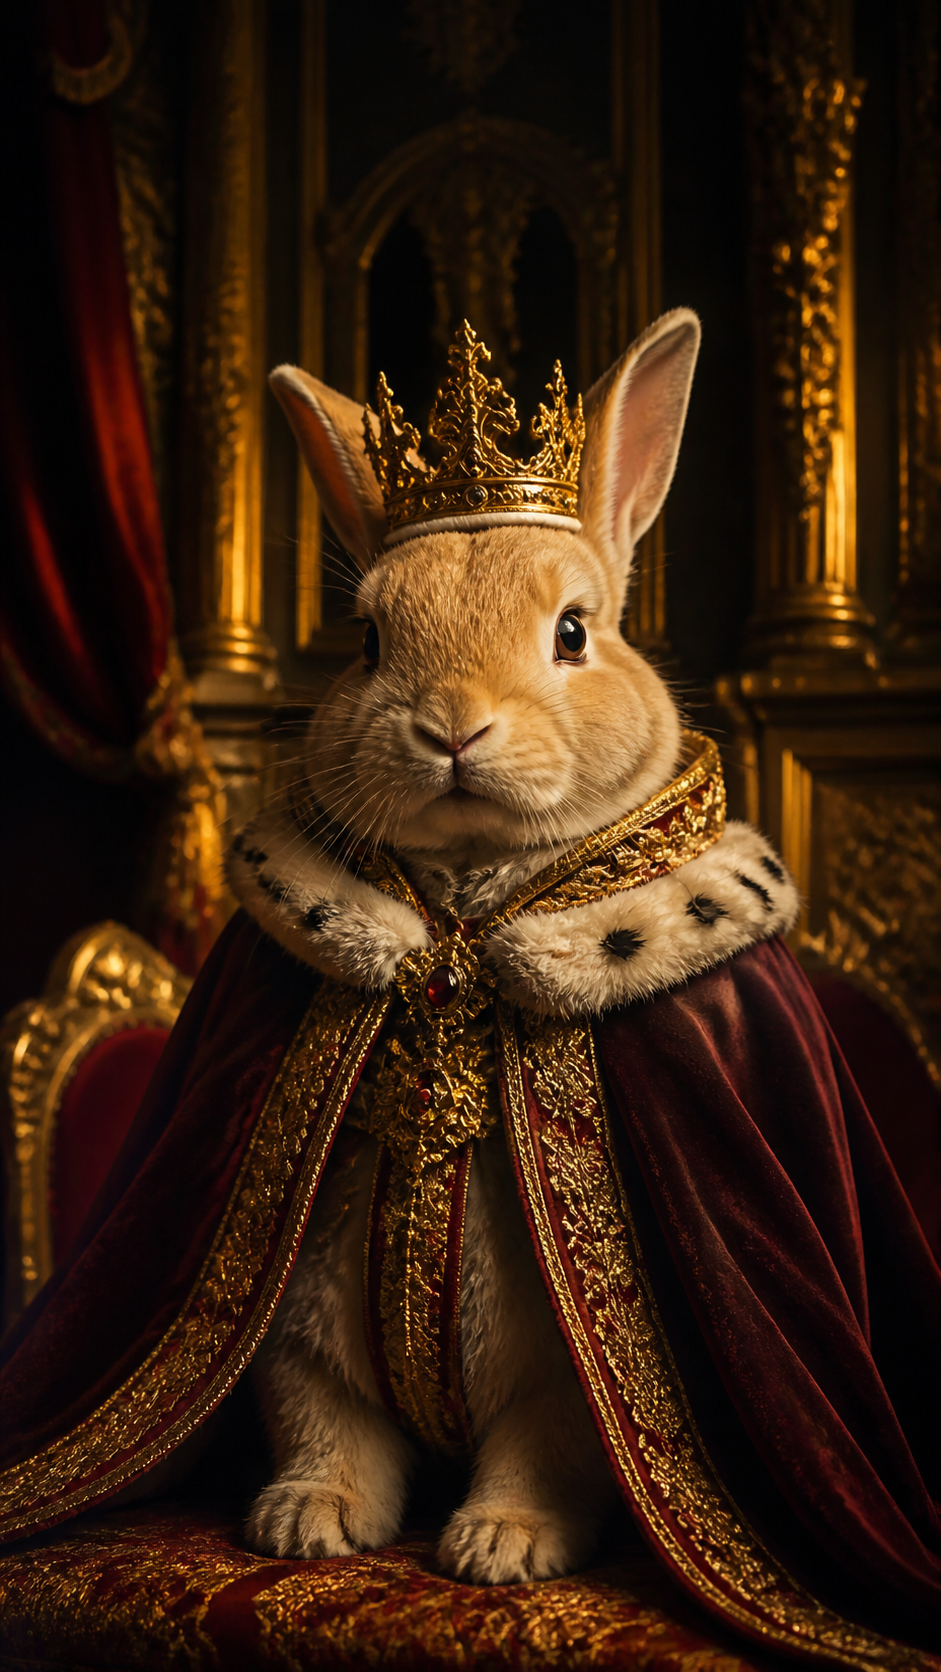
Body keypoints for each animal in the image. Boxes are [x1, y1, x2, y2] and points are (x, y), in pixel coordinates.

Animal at [238, 309, 717, 1583]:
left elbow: (546, 1450)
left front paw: (501, 1547)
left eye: (573, 632)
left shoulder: (562, 1380)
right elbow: (324, 1425)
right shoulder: (298, 1338)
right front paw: (308, 1524)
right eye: (366, 639)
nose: (451, 726)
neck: (457, 915)